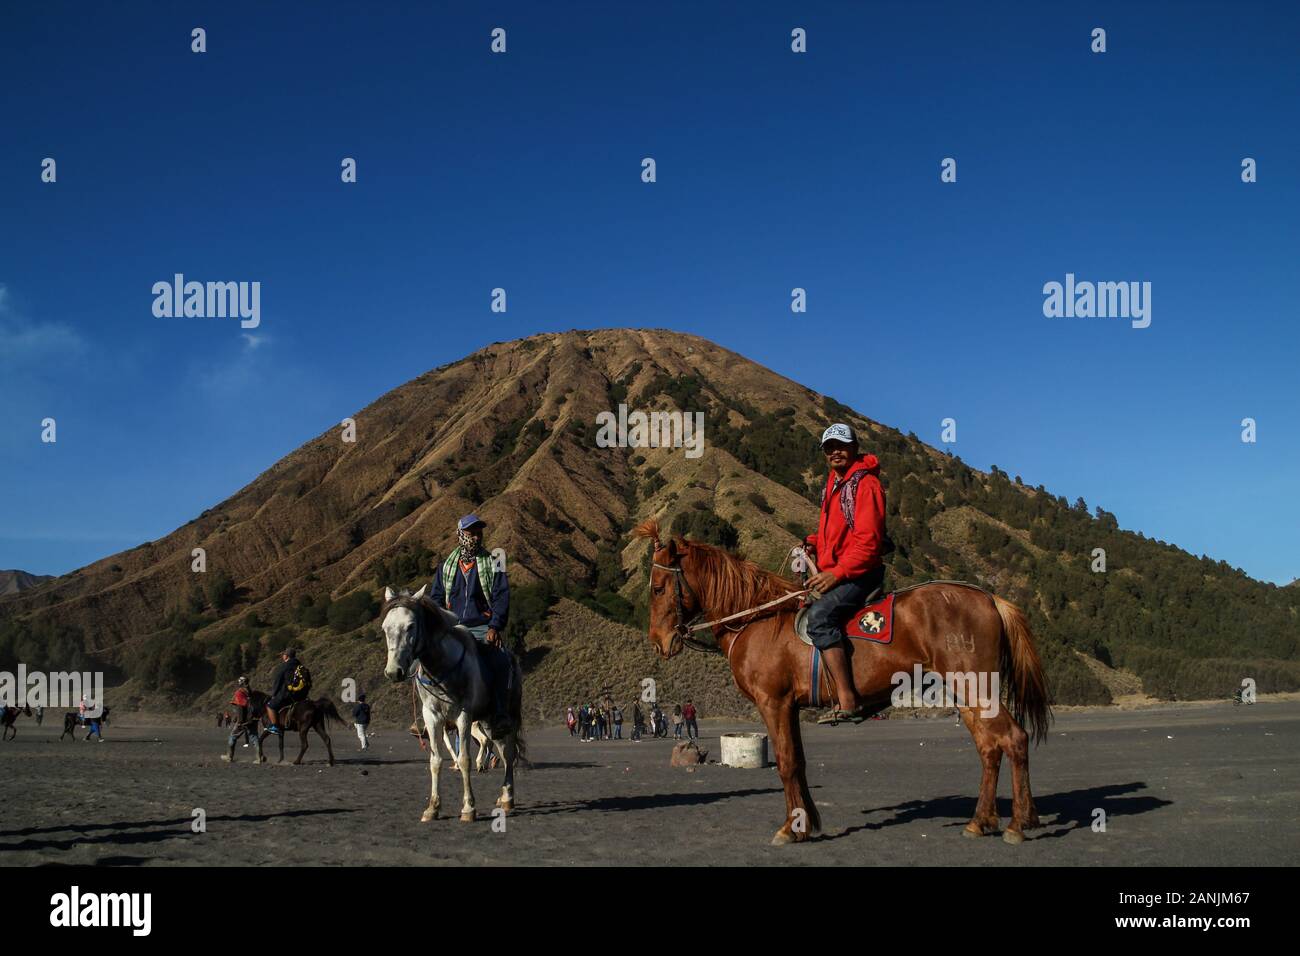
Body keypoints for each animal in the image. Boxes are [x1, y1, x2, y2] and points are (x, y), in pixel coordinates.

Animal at [377, 582, 522, 822]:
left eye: (410, 626)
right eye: (385, 628)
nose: (393, 672)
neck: (442, 668)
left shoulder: (463, 716)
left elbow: (464, 760)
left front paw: (468, 808)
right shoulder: (432, 717)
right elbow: (435, 761)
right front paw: (432, 808)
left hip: (507, 718)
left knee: (508, 754)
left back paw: (508, 798)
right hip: (486, 721)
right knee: (497, 749)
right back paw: (502, 796)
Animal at [634, 522, 1050, 842]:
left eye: (658, 587)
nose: (659, 642)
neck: (757, 620)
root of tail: (990, 599)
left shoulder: (774, 702)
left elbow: (786, 763)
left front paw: (790, 830)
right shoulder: (790, 707)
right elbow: (799, 762)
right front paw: (804, 823)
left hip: (976, 688)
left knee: (1014, 738)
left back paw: (1018, 823)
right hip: (967, 695)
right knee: (990, 748)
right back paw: (983, 821)